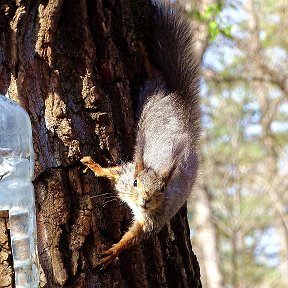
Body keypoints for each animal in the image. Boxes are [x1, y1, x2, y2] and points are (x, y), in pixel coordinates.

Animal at [80, 0, 199, 268]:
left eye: (162, 190)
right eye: (136, 183)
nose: (145, 201)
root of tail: (179, 101)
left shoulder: (155, 218)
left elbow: (136, 235)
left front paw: (114, 251)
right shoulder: (126, 175)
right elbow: (112, 172)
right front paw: (95, 166)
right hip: (150, 93)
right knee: (156, 75)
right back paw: (145, 58)